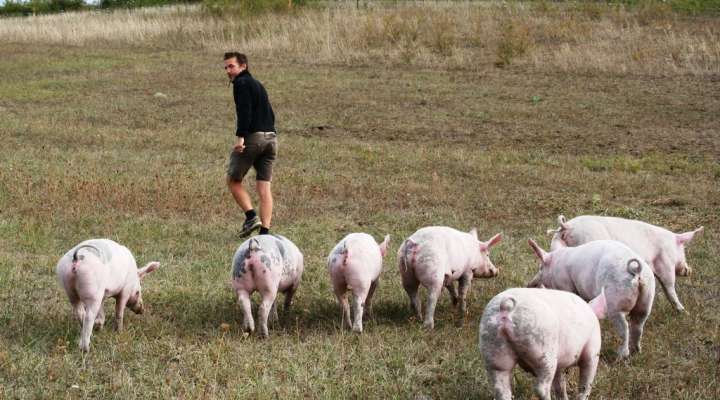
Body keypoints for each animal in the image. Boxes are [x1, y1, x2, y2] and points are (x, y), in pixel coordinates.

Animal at [478, 288, 608, 400]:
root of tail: (506, 307)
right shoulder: (592, 352)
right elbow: (586, 384)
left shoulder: (559, 365)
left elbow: (560, 384)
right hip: (543, 350)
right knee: (541, 388)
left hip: (493, 348)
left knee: (500, 387)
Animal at [524, 238, 656, 360]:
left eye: (540, 267)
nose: (529, 285)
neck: (556, 264)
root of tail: (636, 272)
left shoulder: (565, 284)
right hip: (647, 298)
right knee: (638, 325)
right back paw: (637, 351)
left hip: (615, 301)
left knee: (624, 328)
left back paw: (620, 356)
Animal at [552, 212, 704, 312]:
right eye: (683, 250)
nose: (689, 271)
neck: (671, 243)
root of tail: (567, 226)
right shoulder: (665, 262)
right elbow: (669, 287)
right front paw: (683, 311)